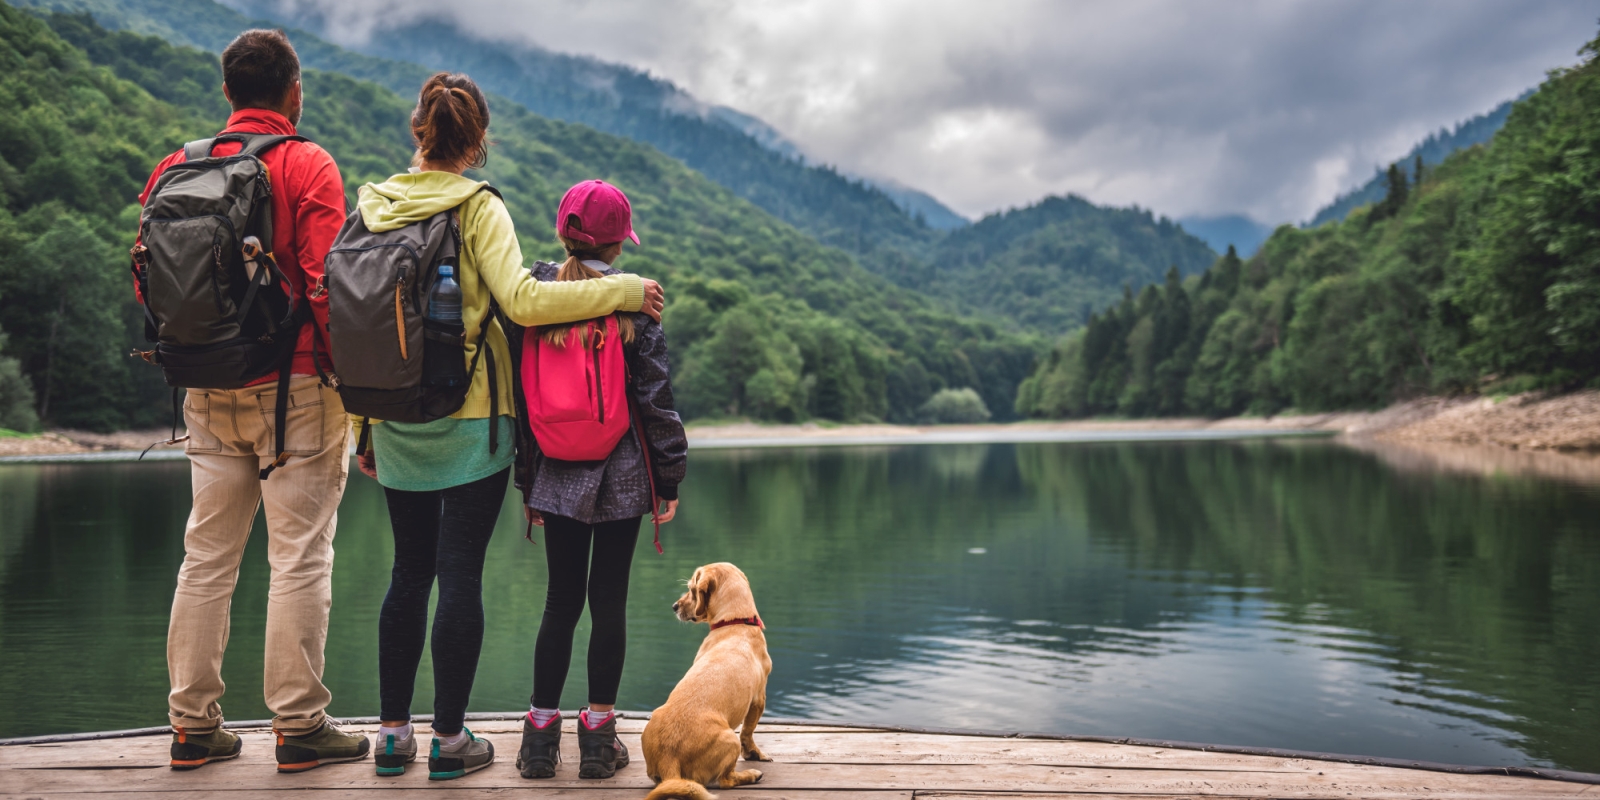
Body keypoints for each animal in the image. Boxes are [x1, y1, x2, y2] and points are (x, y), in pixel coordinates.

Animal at [646, 563, 777, 800]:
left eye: (691, 590)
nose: (674, 606)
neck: (735, 622)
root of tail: (669, 757)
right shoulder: (758, 699)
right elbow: (748, 731)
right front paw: (755, 754)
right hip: (730, 740)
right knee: (726, 781)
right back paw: (751, 775)